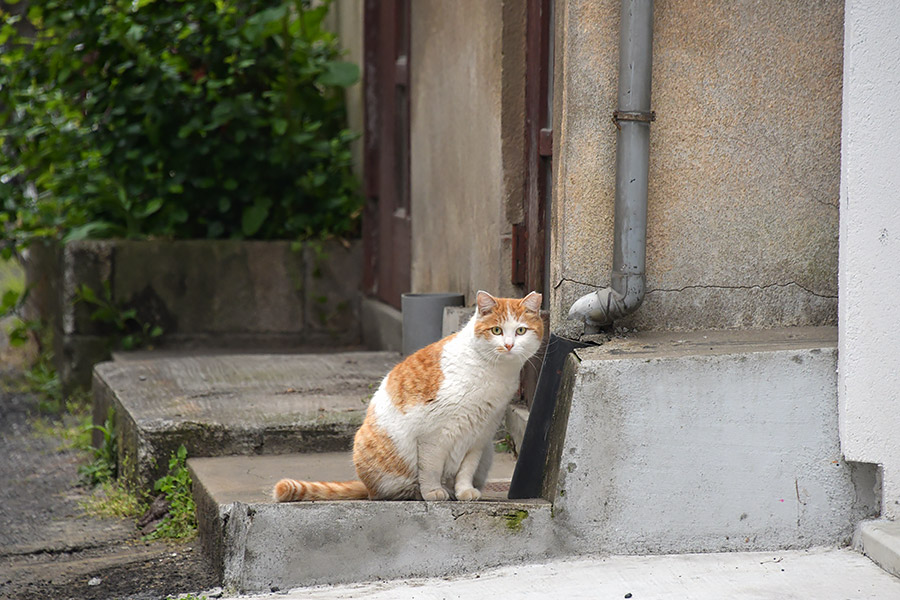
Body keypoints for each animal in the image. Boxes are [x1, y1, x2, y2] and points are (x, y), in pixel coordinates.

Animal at [272, 290, 540, 502]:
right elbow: (431, 468)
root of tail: (366, 487)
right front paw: (433, 492)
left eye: (521, 331)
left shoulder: (479, 436)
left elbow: (466, 470)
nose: (508, 345)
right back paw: (418, 492)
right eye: (496, 330)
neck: (494, 373)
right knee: (389, 491)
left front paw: (464, 491)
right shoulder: (433, 434)